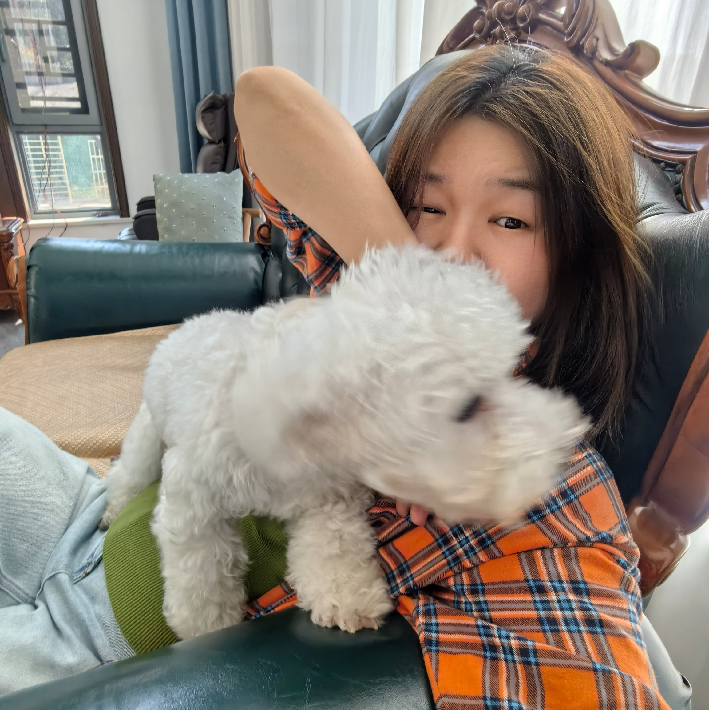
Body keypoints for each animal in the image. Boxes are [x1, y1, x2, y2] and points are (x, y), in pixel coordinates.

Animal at [100, 245, 587, 639]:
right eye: (467, 407)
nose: (565, 439)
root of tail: (188, 325)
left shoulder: (328, 497)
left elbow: (332, 548)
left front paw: (346, 599)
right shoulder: (193, 503)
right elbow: (201, 570)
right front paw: (207, 626)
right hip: (148, 433)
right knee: (129, 472)